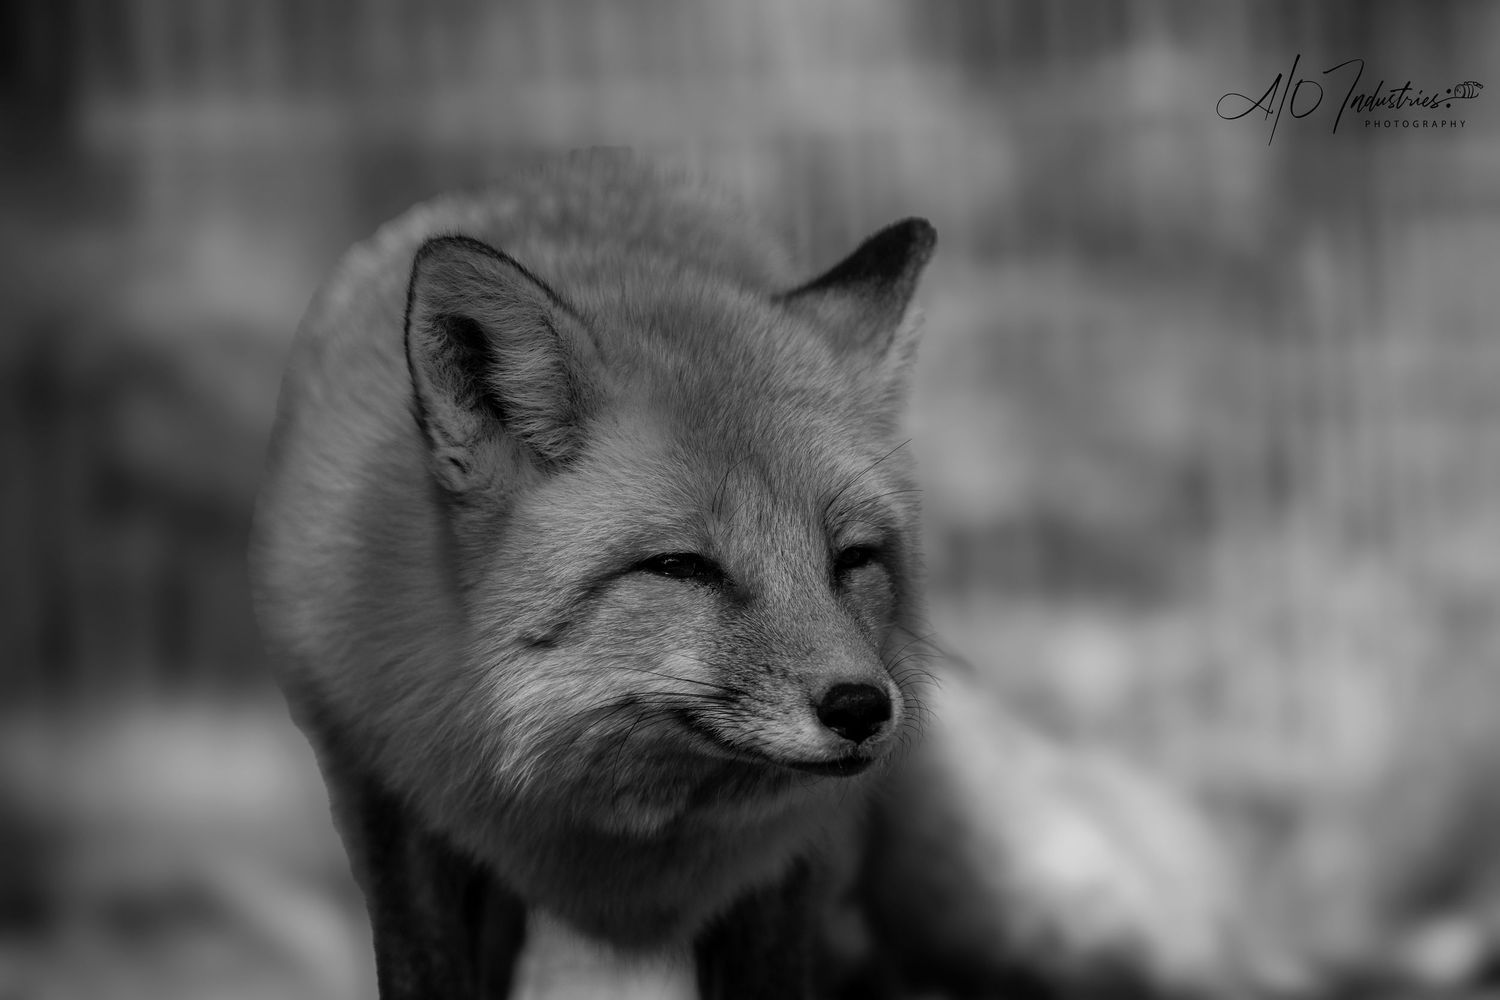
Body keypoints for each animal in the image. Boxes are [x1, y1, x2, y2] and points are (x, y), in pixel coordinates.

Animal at [251, 150, 1282, 999]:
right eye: (682, 568)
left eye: (851, 559)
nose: (864, 708)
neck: (608, 833)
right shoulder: (388, 805)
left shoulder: (791, 864)